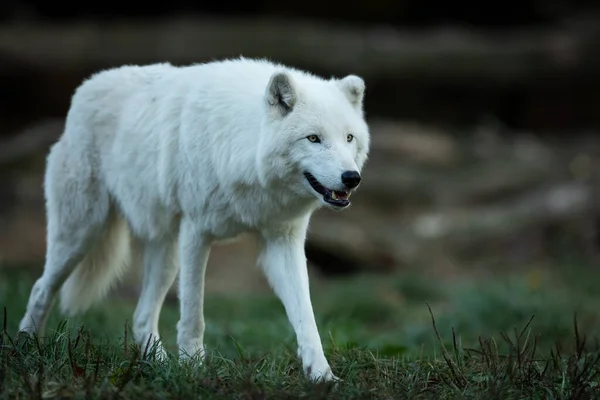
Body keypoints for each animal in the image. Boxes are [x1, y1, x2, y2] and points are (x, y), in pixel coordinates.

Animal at [17, 56, 370, 382]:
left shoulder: (282, 241)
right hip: (81, 234)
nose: (352, 178)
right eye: (313, 138)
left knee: (141, 316)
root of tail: (84, 88)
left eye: (349, 138)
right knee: (39, 288)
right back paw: (26, 350)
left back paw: (158, 365)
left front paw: (321, 375)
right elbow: (193, 312)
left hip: (165, 254)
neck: (244, 151)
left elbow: (305, 317)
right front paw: (193, 368)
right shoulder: (196, 233)